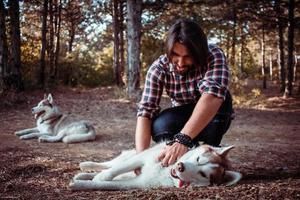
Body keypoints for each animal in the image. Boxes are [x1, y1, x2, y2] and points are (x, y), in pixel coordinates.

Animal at [68, 143, 241, 190]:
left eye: (203, 175)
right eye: (198, 159)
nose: (180, 167)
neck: (165, 172)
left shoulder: (137, 183)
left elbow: (107, 184)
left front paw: (79, 184)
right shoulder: (144, 157)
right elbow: (117, 169)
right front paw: (102, 176)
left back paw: (83, 176)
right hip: (131, 155)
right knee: (112, 164)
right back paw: (86, 166)